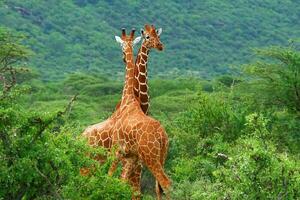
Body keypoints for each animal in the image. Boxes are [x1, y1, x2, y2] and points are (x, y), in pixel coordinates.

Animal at [112, 28, 170, 200]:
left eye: (157, 35)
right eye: (147, 37)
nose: (160, 45)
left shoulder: (127, 155)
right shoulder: (130, 157)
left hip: (150, 157)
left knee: (163, 184)